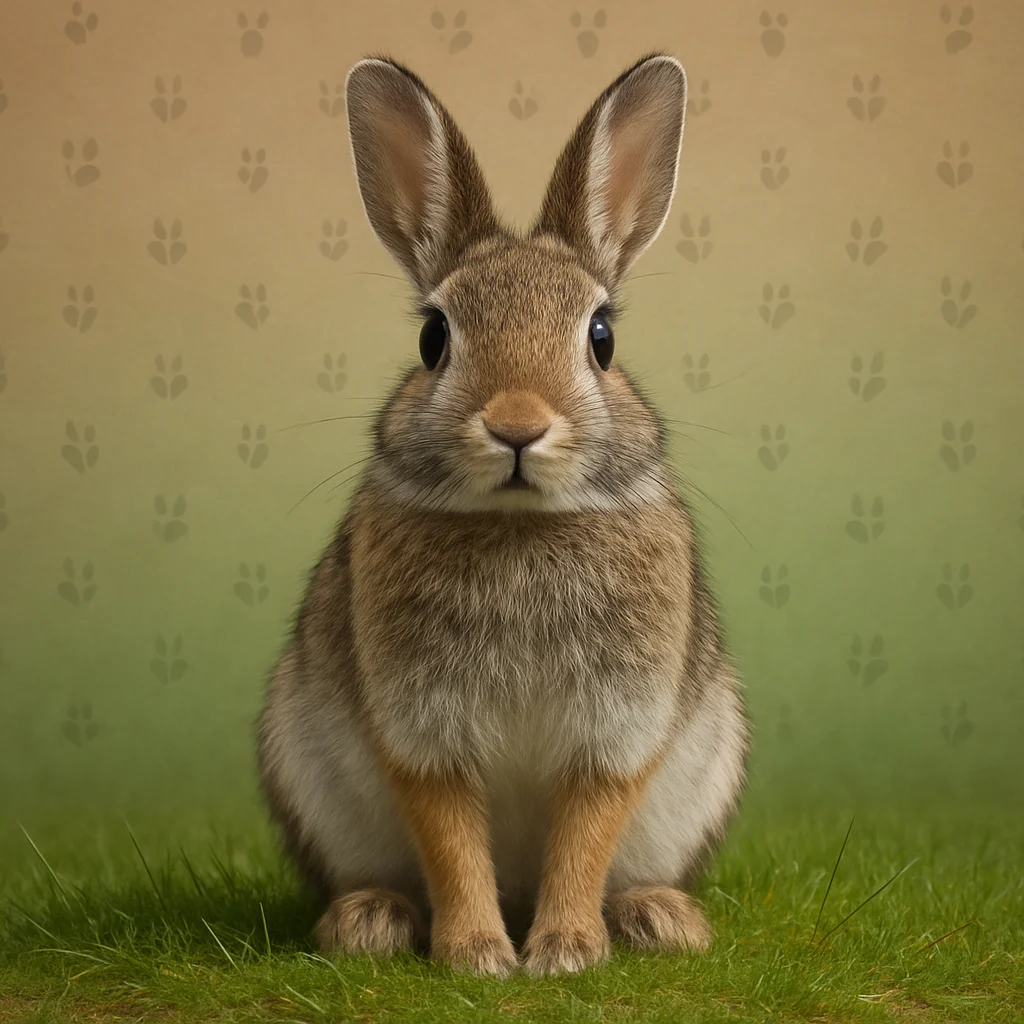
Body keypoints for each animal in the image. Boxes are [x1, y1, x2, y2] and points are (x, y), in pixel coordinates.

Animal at [257, 51, 750, 978]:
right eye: (433, 339)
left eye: (601, 337)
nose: (518, 425)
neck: (524, 525)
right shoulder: (422, 726)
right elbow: (450, 838)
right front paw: (480, 956)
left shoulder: (617, 727)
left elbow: (587, 831)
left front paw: (562, 953)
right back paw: (370, 921)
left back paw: (658, 918)